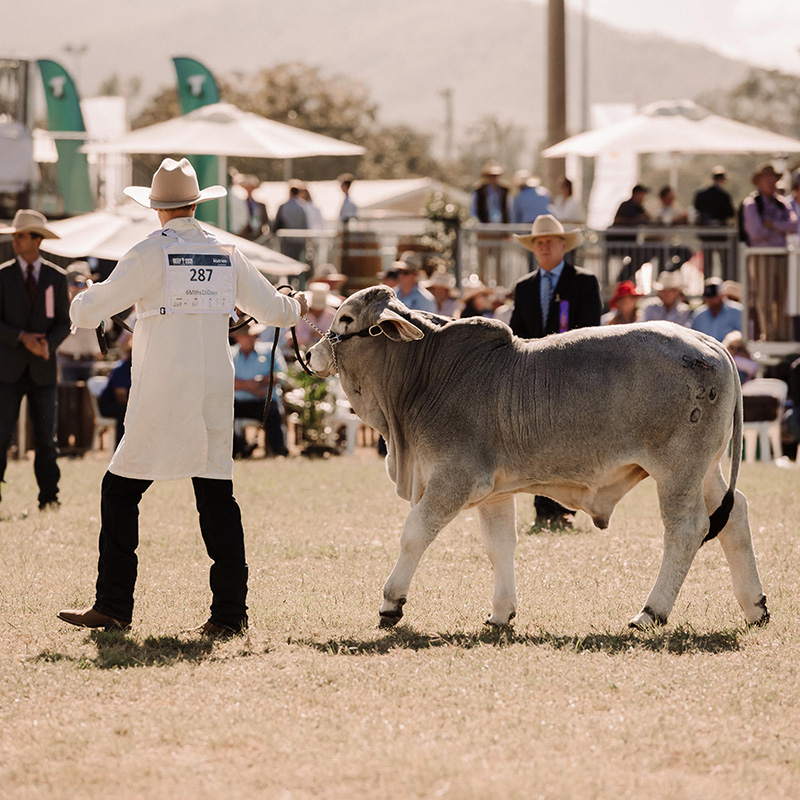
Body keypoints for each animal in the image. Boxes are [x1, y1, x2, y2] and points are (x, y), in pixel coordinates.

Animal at [306, 284, 768, 628]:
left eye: (345, 319)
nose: (310, 355)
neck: (425, 375)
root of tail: (709, 343)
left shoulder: (454, 478)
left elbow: (414, 532)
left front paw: (391, 603)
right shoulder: (493, 493)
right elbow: (500, 547)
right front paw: (501, 613)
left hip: (677, 470)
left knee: (687, 529)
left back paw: (650, 613)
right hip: (705, 471)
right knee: (735, 515)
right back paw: (755, 606)